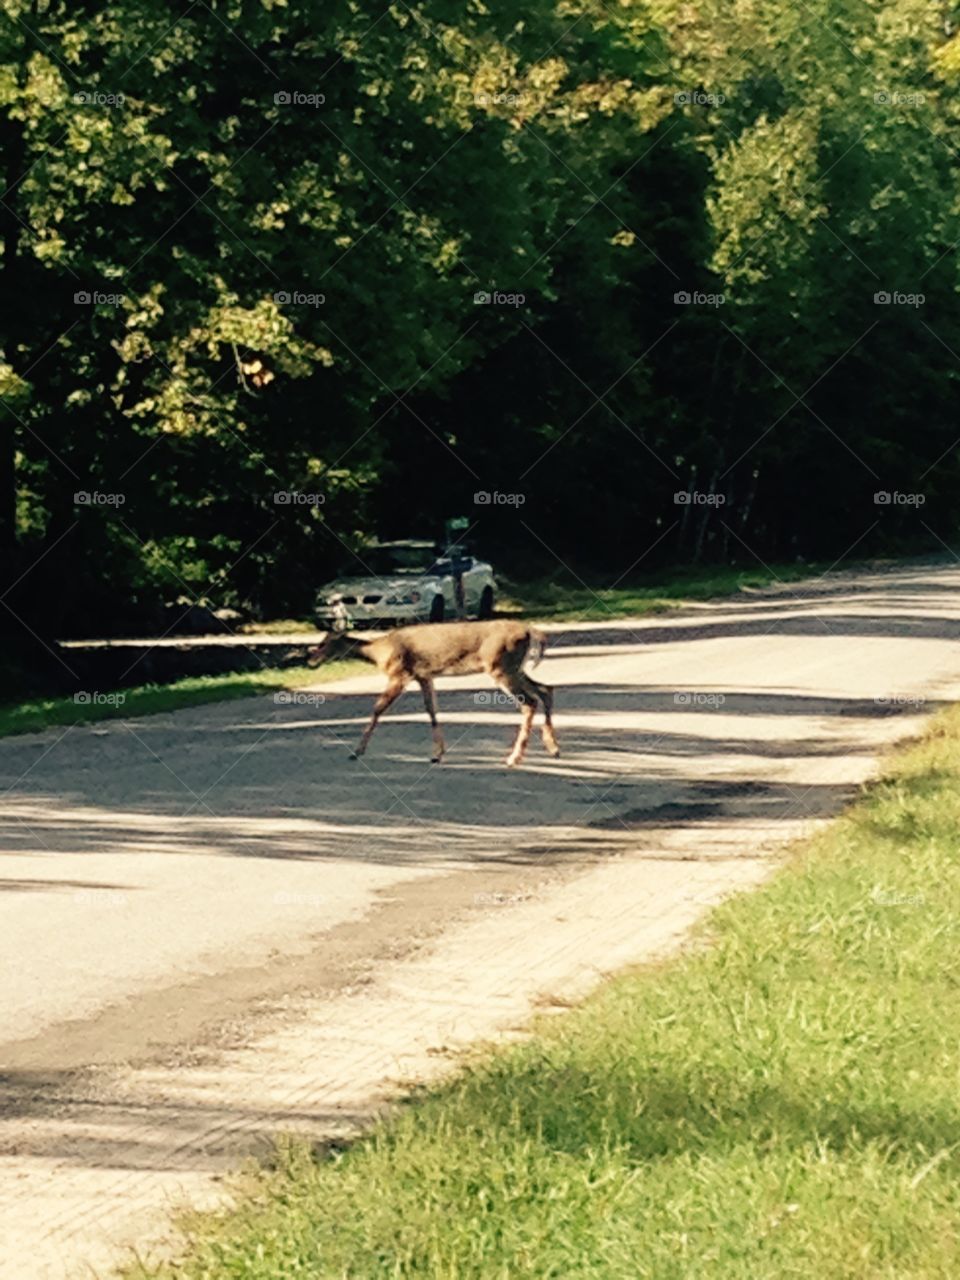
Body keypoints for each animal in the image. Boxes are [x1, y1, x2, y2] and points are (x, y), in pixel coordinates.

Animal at [306, 619, 559, 767]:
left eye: (325, 642)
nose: (311, 659)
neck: (379, 652)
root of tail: (531, 631)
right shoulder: (424, 676)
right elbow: (432, 710)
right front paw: (438, 753)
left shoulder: (400, 673)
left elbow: (378, 708)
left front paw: (357, 751)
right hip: (515, 667)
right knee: (545, 689)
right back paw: (553, 748)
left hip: (500, 665)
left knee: (529, 701)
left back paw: (514, 758)